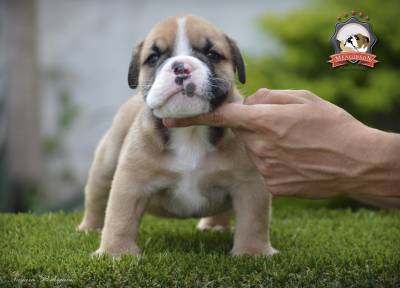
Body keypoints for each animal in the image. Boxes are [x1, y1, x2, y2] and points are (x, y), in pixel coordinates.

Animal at [78, 15, 278, 256]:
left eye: (212, 54)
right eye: (153, 58)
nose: (181, 67)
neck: (190, 128)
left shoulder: (249, 183)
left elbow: (253, 220)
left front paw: (253, 252)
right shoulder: (131, 181)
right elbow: (120, 217)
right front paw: (116, 252)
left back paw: (214, 226)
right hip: (106, 161)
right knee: (96, 196)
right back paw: (90, 228)